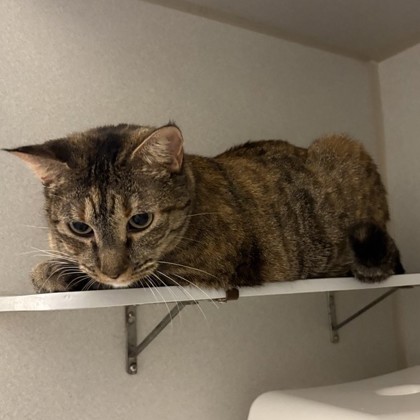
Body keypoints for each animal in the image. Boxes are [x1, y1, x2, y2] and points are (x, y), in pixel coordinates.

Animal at [5, 123, 404, 293]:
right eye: (81, 228)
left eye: (140, 221)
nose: (112, 271)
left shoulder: (206, 268)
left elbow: (139, 276)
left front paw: (52, 272)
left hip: (343, 146)